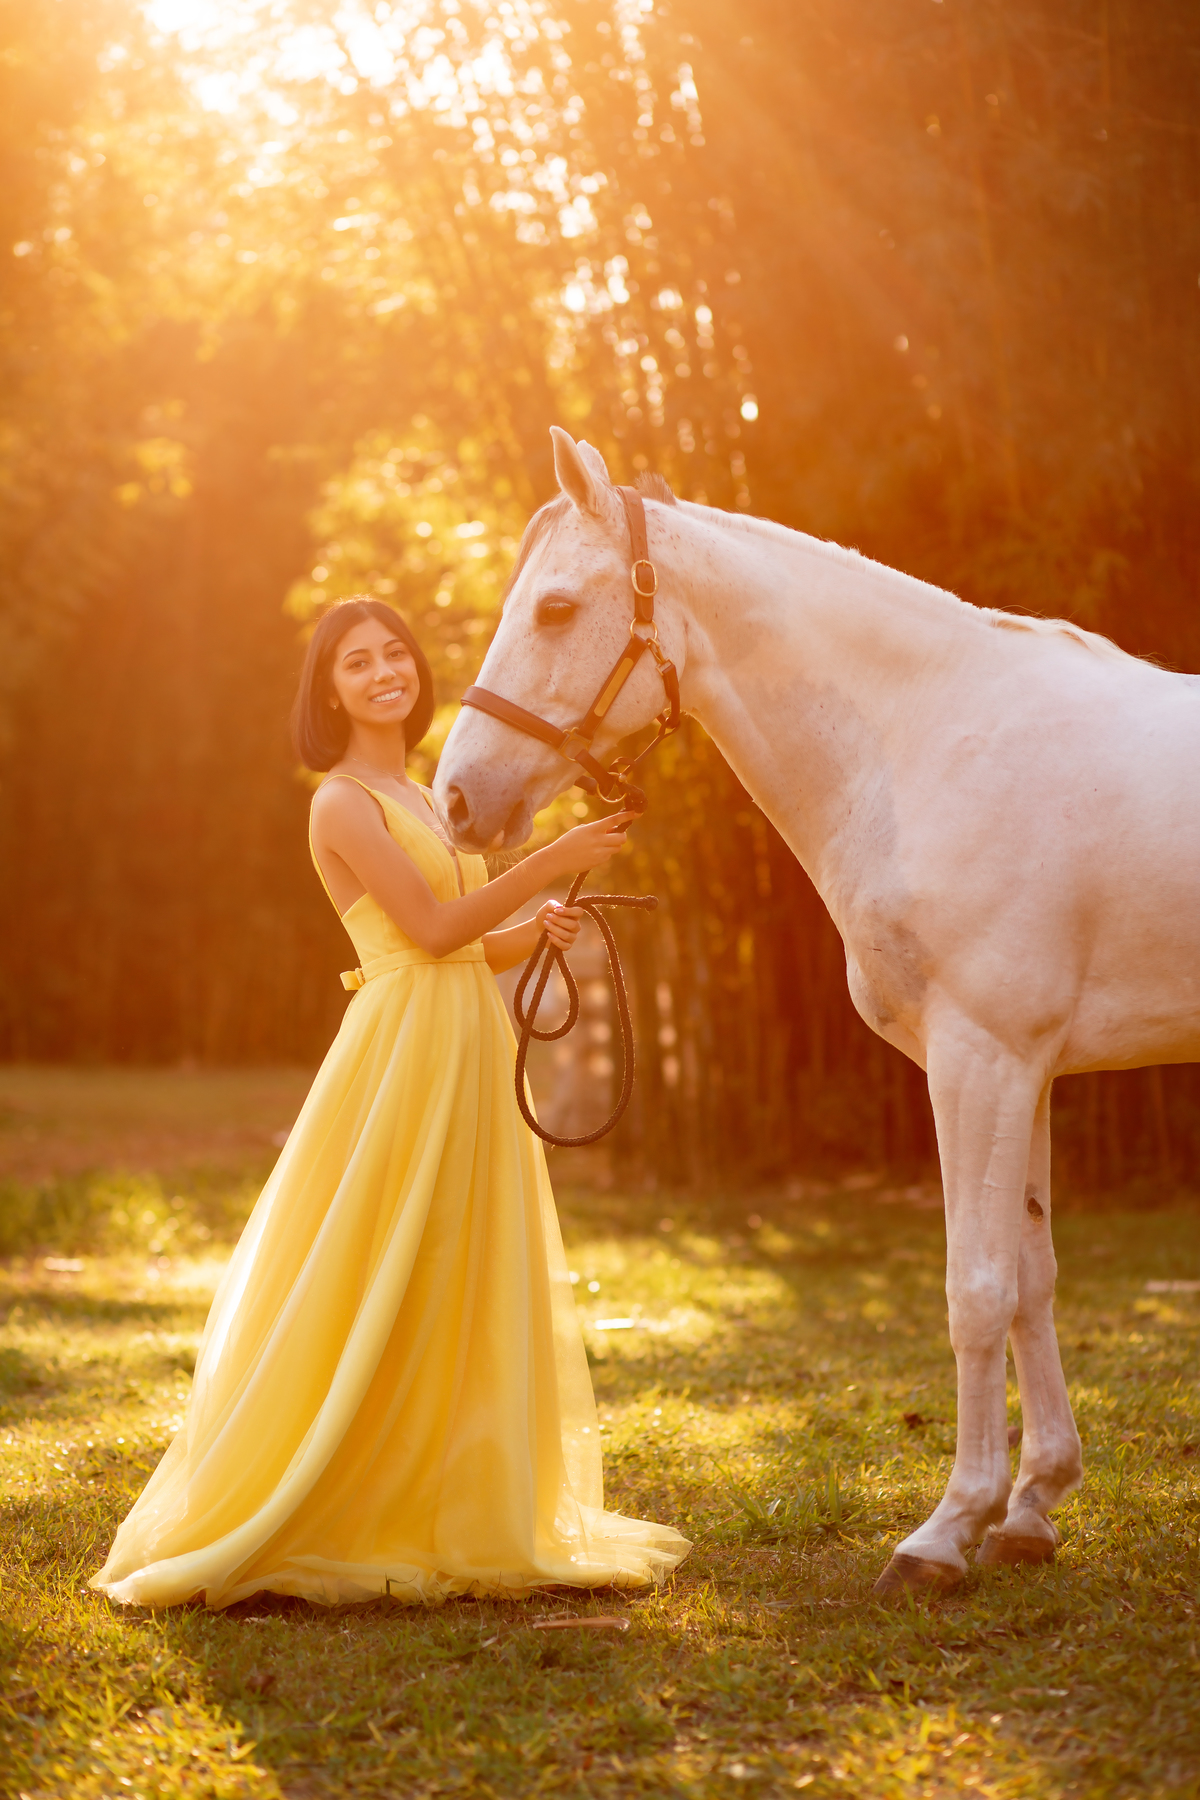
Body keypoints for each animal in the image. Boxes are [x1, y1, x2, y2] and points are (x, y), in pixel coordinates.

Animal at [433, 426, 1200, 1596]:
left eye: (557, 608)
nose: (458, 798)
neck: (930, 743)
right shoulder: (1027, 1068)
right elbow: (1032, 1278)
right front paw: (1031, 1508)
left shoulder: (979, 1060)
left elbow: (976, 1287)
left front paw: (945, 1531)